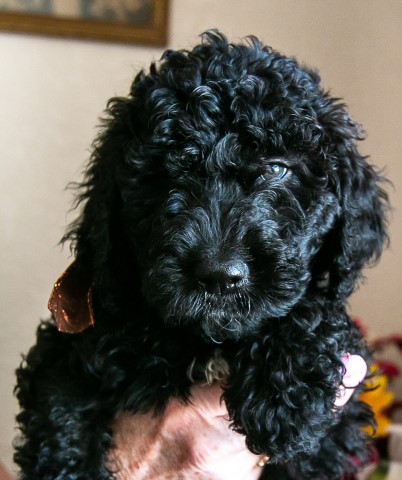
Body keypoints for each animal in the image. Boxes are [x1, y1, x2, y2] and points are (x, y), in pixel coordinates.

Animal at [14, 31, 388, 478]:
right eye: (160, 174)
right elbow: (60, 414)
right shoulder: (70, 348)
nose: (219, 275)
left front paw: (286, 392)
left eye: (277, 169)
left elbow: (310, 309)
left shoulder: (336, 428)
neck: (209, 342)